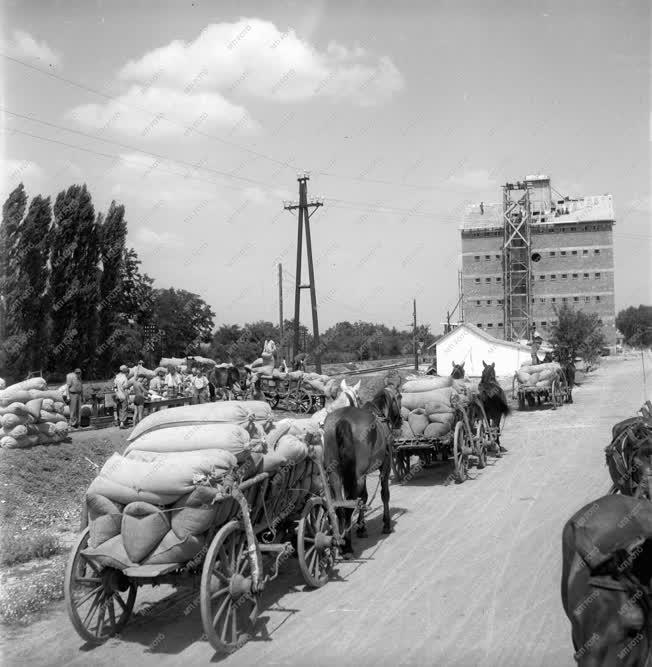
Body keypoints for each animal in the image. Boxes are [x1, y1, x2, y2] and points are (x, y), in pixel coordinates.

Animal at [322, 384, 402, 556]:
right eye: (399, 396)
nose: (400, 420)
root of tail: (343, 420)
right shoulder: (385, 466)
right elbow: (384, 494)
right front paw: (386, 524)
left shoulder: (360, 476)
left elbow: (363, 498)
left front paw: (361, 527)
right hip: (357, 476)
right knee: (349, 505)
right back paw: (347, 546)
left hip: (336, 476)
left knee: (341, 505)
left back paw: (341, 541)